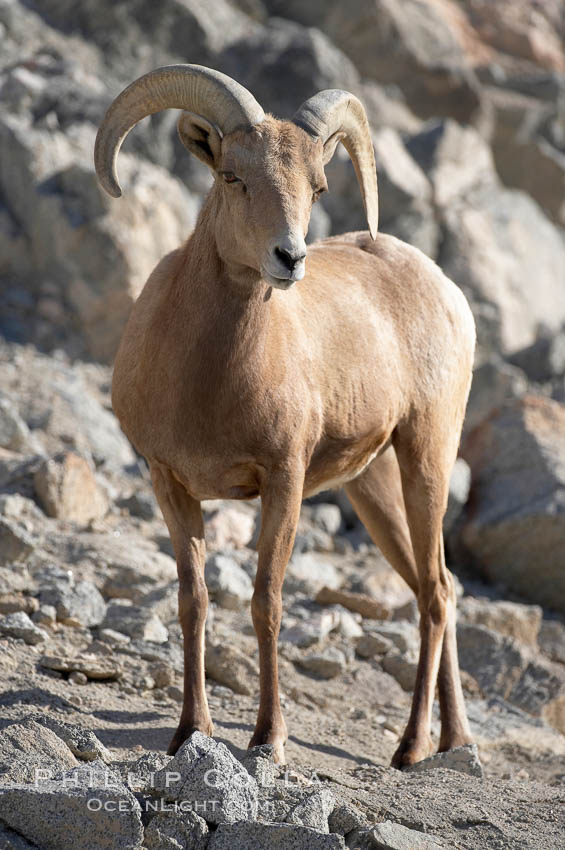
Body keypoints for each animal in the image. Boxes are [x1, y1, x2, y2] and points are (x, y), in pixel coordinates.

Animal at [94, 66, 474, 764]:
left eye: (317, 186)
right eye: (231, 175)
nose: (289, 258)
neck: (207, 382)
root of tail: (444, 288)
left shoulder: (284, 480)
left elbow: (266, 600)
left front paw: (268, 739)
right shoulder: (170, 484)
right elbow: (193, 601)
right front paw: (190, 732)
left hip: (426, 458)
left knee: (435, 593)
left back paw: (411, 749)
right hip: (373, 489)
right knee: (437, 586)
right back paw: (457, 742)